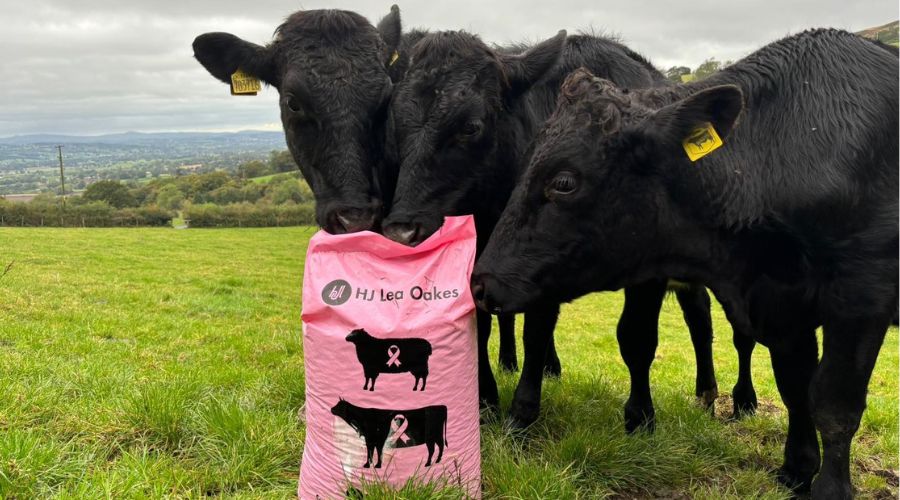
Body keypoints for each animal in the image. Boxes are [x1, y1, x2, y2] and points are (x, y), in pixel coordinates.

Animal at [384, 31, 756, 428]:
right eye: (395, 123)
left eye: (470, 126)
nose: (402, 231)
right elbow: (484, 327)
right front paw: (485, 400)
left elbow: (627, 336)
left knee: (719, 324)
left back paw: (732, 398)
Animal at [474, 29, 896, 498]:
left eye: (564, 182)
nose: (482, 281)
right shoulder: (781, 302)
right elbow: (795, 386)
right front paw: (798, 468)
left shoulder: (860, 297)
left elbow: (834, 403)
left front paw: (829, 487)